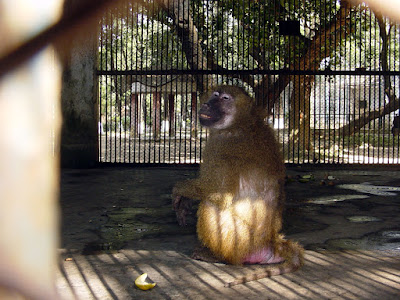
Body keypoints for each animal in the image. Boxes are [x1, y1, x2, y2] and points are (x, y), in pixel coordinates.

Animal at [172, 85, 304, 288]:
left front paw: (181, 190)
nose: (206, 104)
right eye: (214, 95)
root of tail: (270, 240)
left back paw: (216, 256)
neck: (242, 123)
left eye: (225, 98)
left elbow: (218, 194)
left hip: (237, 243)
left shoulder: (220, 145)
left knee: (210, 204)